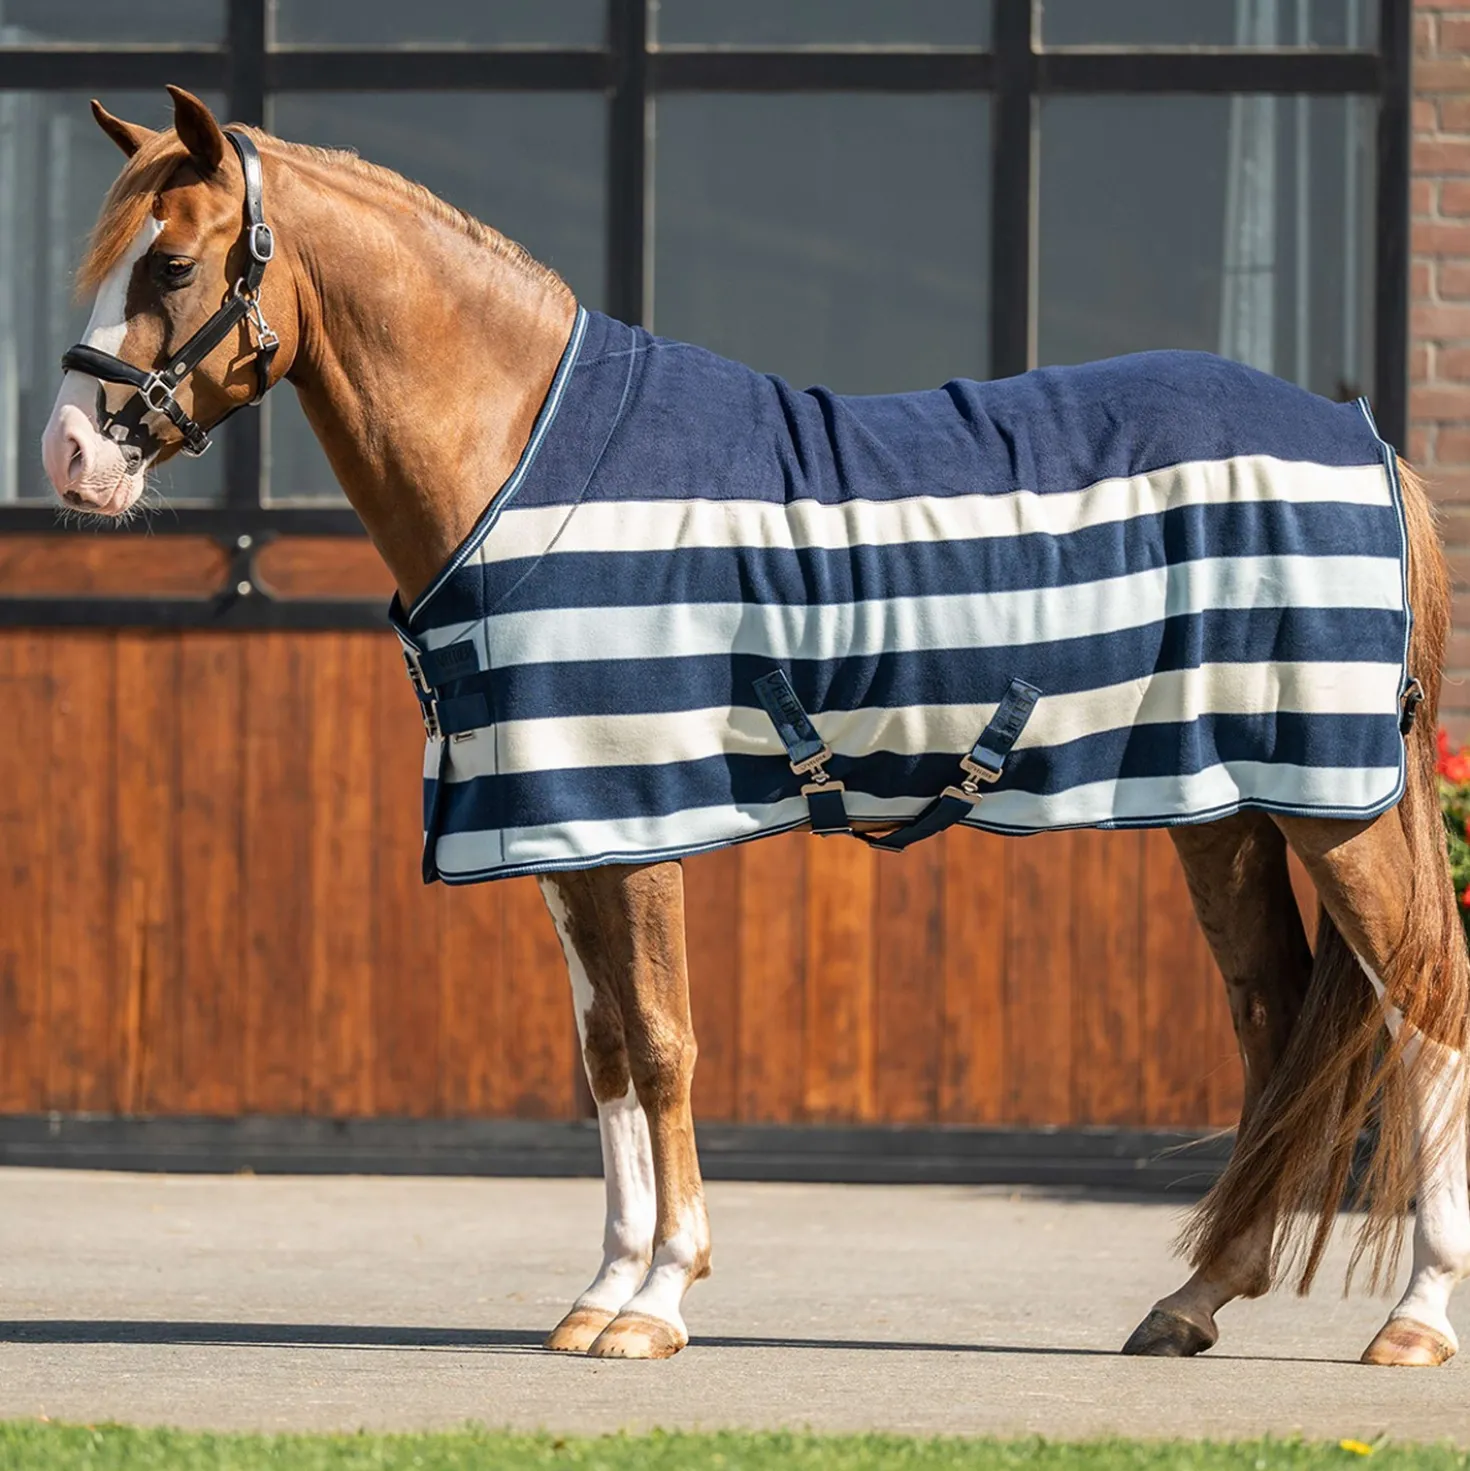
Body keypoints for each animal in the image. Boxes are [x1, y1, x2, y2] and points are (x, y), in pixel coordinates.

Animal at [40, 86, 1470, 1369]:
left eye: (173, 261)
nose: (70, 460)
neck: (524, 466)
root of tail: (1363, 443)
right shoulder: (557, 830)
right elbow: (609, 1054)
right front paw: (599, 1294)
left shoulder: (637, 815)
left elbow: (667, 1041)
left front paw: (661, 1300)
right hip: (1224, 811)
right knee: (1272, 1020)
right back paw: (1195, 1300)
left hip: (1337, 807)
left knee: (1425, 1003)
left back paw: (1414, 1322)